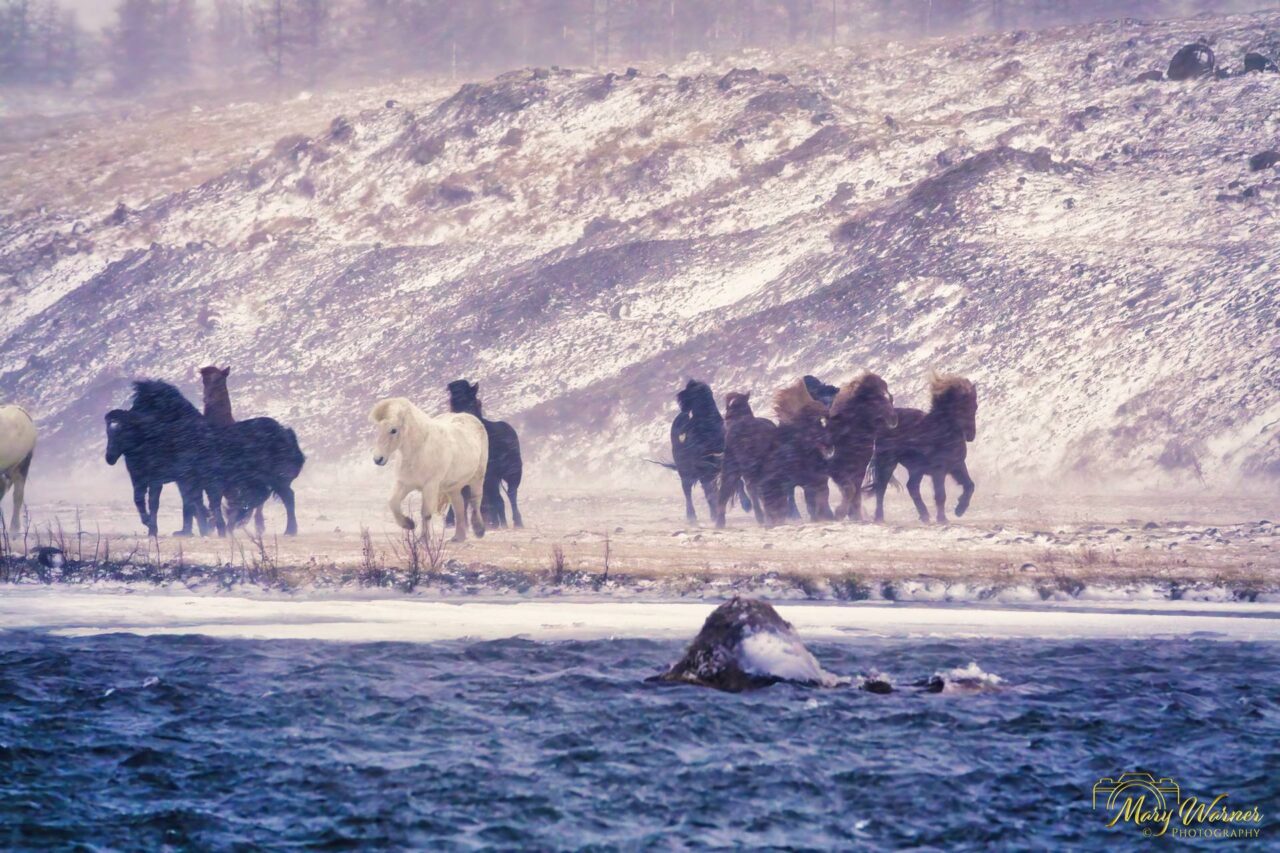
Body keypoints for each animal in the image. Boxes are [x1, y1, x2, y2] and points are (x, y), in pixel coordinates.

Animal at [105, 381, 216, 537]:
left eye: (123, 431)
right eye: (108, 433)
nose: (109, 457)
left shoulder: (156, 479)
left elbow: (153, 503)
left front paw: (152, 528)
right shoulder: (137, 477)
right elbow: (138, 499)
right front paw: (147, 523)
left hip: (196, 475)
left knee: (197, 499)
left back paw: (203, 527)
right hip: (184, 479)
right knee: (191, 500)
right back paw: (190, 529)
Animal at [370, 397, 487, 542]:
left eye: (393, 430)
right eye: (378, 429)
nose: (378, 459)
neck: (419, 451)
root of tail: (470, 417)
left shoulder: (430, 486)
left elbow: (425, 513)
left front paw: (423, 539)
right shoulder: (404, 484)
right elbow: (393, 503)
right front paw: (408, 524)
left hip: (478, 477)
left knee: (475, 500)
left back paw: (479, 530)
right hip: (452, 487)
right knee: (458, 505)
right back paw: (458, 537)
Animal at [446, 380, 523, 529]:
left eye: (474, 403)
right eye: (453, 404)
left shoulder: (489, 476)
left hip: (513, 473)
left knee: (511, 495)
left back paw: (515, 521)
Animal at [828, 373, 898, 521]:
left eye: (889, 397)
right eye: (875, 399)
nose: (893, 418)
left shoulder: (860, 468)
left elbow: (855, 490)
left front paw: (856, 515)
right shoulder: (834, 467)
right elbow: (850, 489)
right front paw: (840, 513)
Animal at [869, 373, 977, 524]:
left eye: (975, 407)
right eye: (962, 407)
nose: (970, 435)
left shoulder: (957, 465)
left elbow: (969, 485)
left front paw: (960, 510)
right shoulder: (939, 470)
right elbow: (940, 495)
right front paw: (943, 519)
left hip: (916, 469)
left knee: (912, 487)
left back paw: (924, 515)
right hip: (887, 463)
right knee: (881, 488)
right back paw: (879, 517)